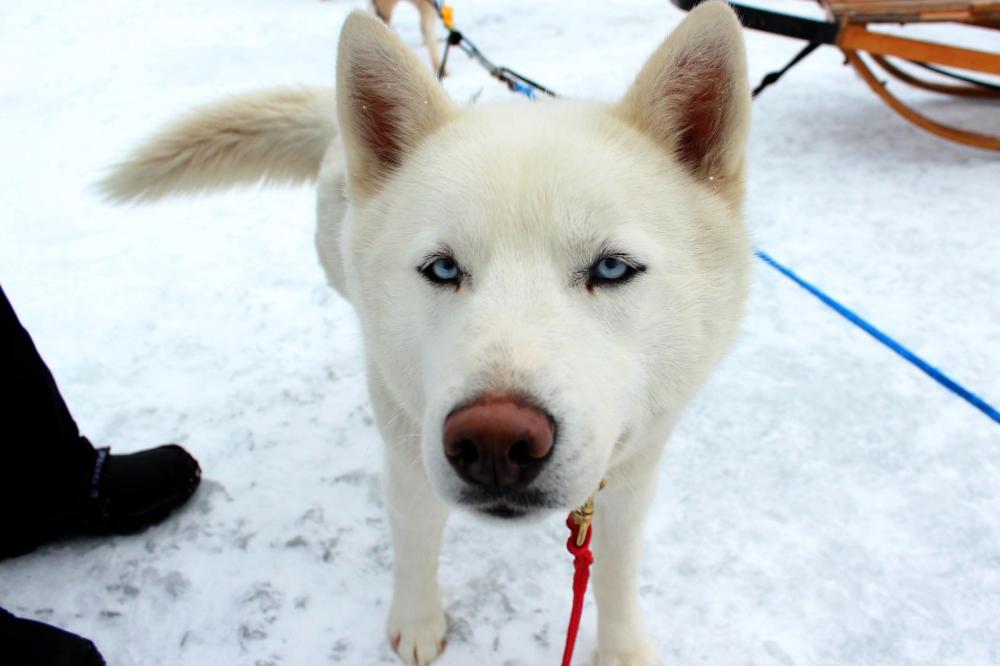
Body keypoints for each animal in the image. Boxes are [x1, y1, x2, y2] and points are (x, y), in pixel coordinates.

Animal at [101, 2, 752, 660]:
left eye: (611, 268)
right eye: (442, 269)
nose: (494, 441)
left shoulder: (631, 473)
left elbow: (614, 569)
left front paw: (622, 649)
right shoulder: (410, 459)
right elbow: (416, 545)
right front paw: (417, 624)